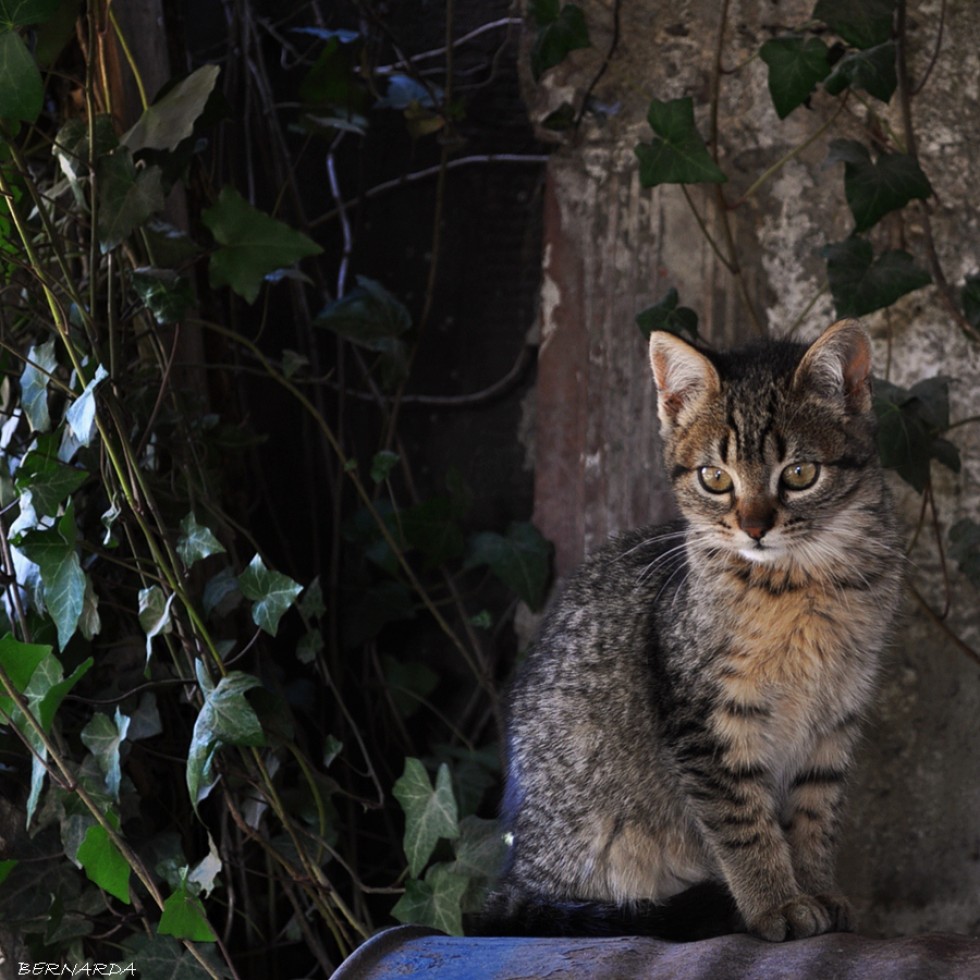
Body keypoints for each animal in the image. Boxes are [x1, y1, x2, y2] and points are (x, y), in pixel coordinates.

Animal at [486, 320, 908, 940]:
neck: (801, 587)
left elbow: (815, 817)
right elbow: (744, 822)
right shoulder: (705, 722)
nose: (754, 527)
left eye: (799, 473)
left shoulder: (836, 719)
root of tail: (515, 876)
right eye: (714, 478)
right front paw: (775, 904)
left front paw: (818, 890)